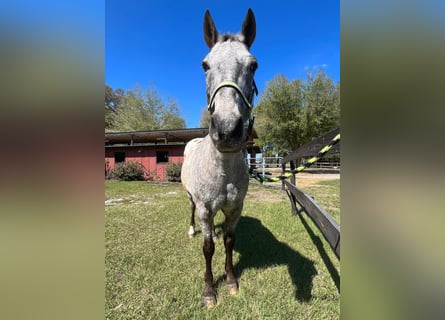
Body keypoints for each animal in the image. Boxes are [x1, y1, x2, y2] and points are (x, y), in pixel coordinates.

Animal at [180, 8, 256, 308]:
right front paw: (210, 291)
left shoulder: (235, 208)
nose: (226, 130)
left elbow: (229, 241)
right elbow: (208, 246)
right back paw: (192, 230)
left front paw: (232, 282)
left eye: (253, 65)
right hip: (193, 200)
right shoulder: (204, 208)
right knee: (193, 215)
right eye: (205, 65)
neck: (222, 171)